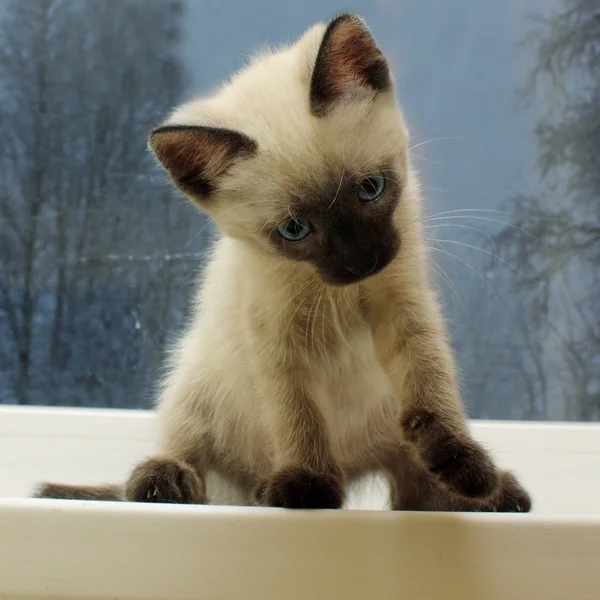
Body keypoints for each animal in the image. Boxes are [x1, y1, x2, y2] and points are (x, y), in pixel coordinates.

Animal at [37, 14, 528, 510]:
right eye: (295, 230)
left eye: (371, 188)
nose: (362, 262)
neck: (339, 293)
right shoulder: (276, 339)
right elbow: (298, 414)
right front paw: (307, 488)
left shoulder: (403, 306)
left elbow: (431, 387)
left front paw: (466, 466)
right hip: (191, 382)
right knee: (181, 453)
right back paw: (181, 485)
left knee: (415, 488)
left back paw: (489, 494)